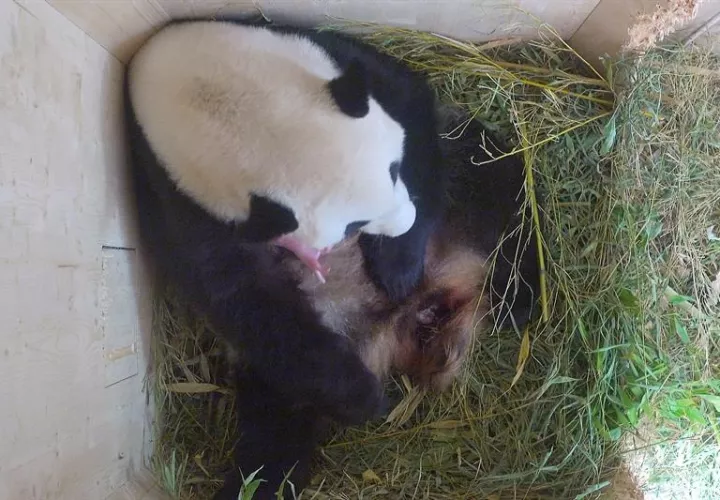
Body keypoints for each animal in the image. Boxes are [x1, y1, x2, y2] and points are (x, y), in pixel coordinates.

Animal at [124, 17, 445, 427]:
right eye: (352, 225)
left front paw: (399, 266)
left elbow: (410, 102)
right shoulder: (179, 197)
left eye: (393, 169)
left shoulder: (322, 51)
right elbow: (244, 297)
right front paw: (362, 395)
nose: (405, 222)